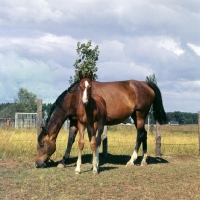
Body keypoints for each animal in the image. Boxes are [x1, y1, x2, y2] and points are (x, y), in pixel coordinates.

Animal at [35, 76, 166, 169]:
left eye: (41, 144)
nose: (37, 163)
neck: (75, 97)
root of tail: (145, 84)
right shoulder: (74, 121)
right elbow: (70, 140)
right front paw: (63, 162)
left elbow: (92, 140)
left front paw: (94, 162)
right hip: (136, 116)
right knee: (144, 134)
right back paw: (143, 160)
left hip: (140, 115)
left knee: (140, 135)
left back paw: (131, 161)